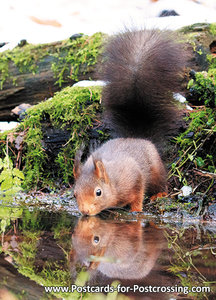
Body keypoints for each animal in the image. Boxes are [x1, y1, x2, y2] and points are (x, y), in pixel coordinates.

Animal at [73, 28, 187, 216]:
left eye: (98, 192)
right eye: (74, 193)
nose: (85, 212)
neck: (112, 181)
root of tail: (138, 137)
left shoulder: (135, 177)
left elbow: (139, 193)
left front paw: (136, 210)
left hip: (156, 169)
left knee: (161, 182)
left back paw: (160, 193)